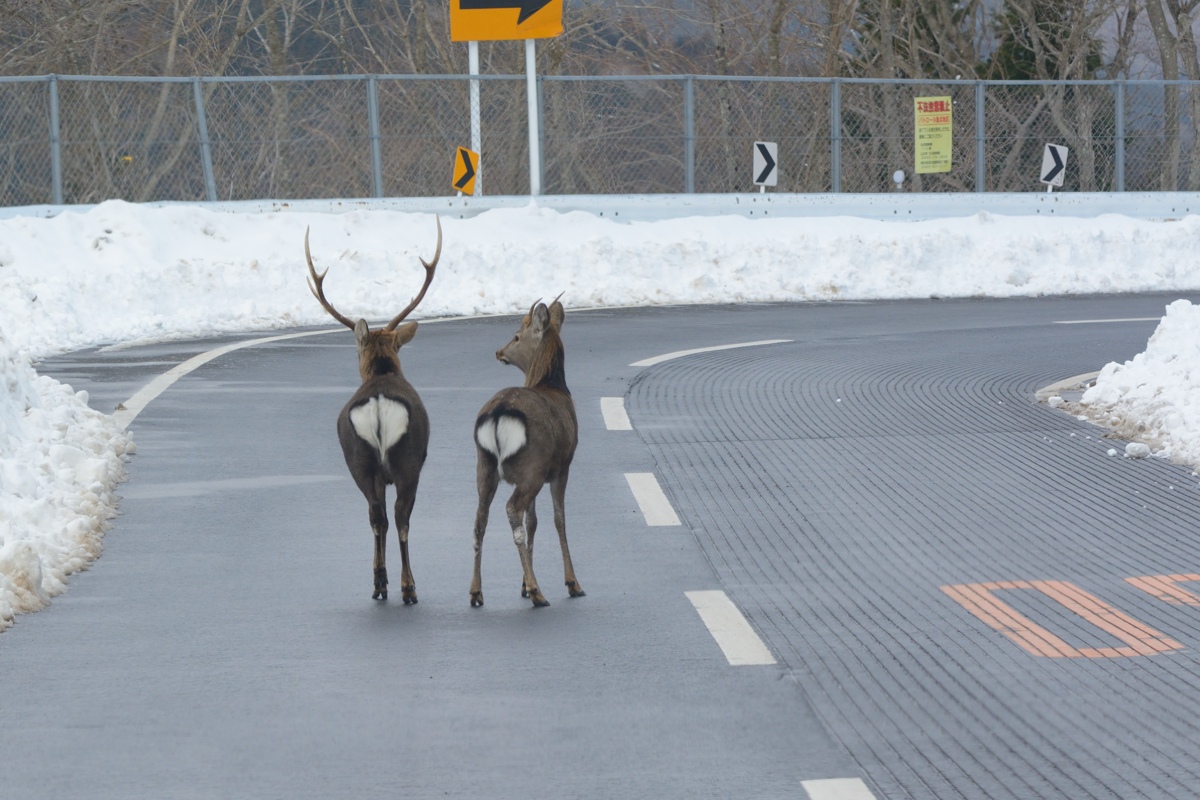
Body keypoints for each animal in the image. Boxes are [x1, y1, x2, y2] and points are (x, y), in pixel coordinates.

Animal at [304, 217, 441, 599]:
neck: (382, 372)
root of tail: (379, 404)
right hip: (404, 459)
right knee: (397, 516)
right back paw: (407, 586)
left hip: (360, 459)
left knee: (378, 515)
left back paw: (385, 583)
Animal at [465, 297, 583, 609]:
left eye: (516, 336)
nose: (499, 351)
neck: (551, 384)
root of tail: (498, 413)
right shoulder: (562, 466)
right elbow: (558, 519)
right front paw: (573, 582)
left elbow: (534, 521)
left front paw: (521, 584)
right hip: (533, 464)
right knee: (511, 510)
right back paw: (537, 592)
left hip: (485, 465)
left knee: (480, 520)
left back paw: (476, 591)